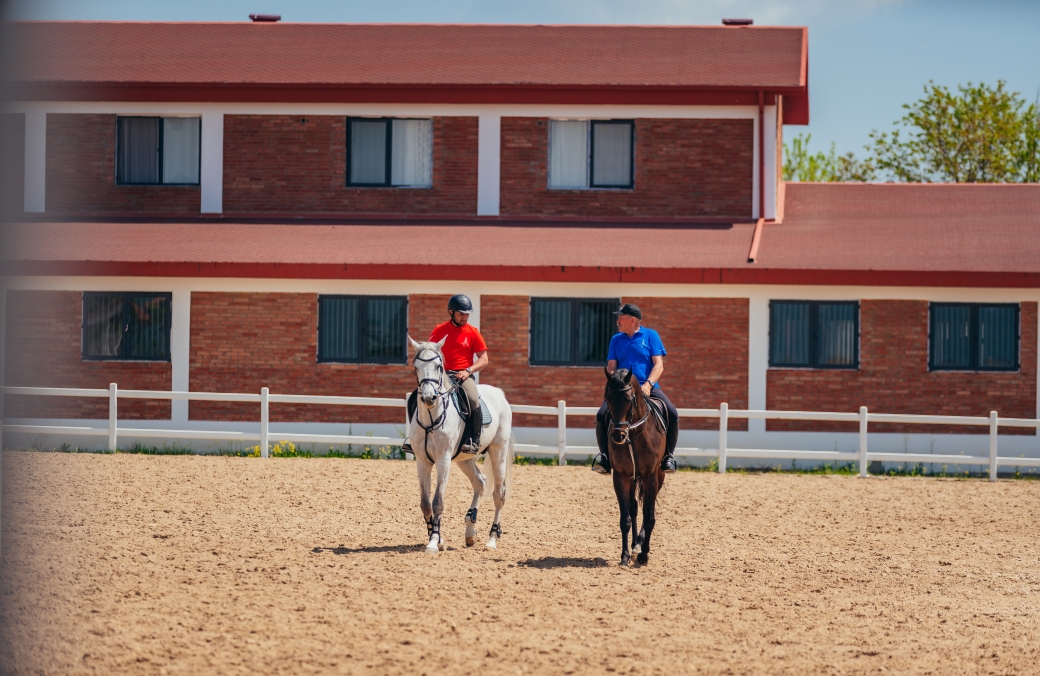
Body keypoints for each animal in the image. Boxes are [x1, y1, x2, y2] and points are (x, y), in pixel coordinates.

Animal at [409, 336, 515, 553]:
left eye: (439, 366)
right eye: (416, 367)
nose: (429, 398)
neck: (431, 417)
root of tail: (499, 393)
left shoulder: (443, 460)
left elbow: (438, 501)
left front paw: (433, 542)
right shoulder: (422, 461)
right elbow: (425, 503)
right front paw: (437, 538)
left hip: (497, 452)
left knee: (499, 494)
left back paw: (492, 539)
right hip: (464, 460)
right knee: (480, 482)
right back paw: (470, 531)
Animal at [603, 366, 665, 565]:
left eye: (629, 399)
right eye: (608, 398)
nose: (618, 435)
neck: (634, 433)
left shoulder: (650, 476)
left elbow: (650, 517)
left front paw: (644, 554)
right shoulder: (620, 476)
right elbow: (626, 518)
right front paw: (624, 556)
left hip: (658, 476)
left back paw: (640, 545)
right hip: (632, 478)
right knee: (635, 508)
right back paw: (634, 544)